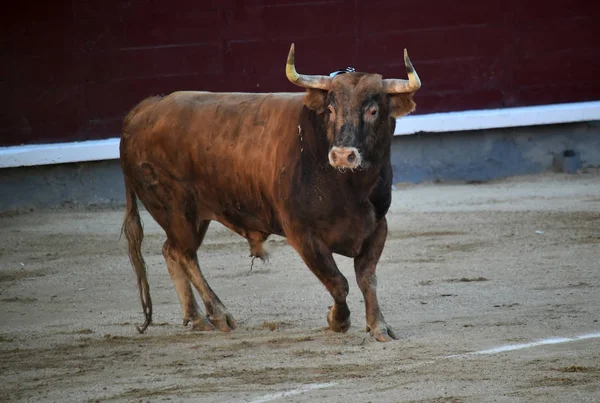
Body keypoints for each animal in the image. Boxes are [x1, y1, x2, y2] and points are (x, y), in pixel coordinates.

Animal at [120, 43, 422, 340]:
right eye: (331, 111)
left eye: (373, 111)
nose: (342, 155)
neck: (350, 188)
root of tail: (144, 110)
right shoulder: (302, 234)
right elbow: (339, 282)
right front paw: (337, 320)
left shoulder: (377, 226)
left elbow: (367, 278)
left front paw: (379, 326)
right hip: (175, 209)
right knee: (184, 254)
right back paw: (218, 314)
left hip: (192, 216)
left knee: (171, 250)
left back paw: (196, 318)